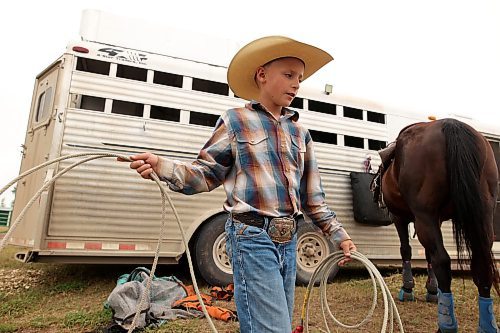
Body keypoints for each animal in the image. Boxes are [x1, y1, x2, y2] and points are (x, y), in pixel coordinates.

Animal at [378, 117, 500, 332]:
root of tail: (451, 124)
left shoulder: (400, 217)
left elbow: (406, 250)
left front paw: (407, 288)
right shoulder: (436, 219)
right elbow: (427, 255)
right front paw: (432, 290)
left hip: (424, 215)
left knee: (442, 261)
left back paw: (446, 324)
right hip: (484, 214)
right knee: (480, 262)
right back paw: (487, 325)